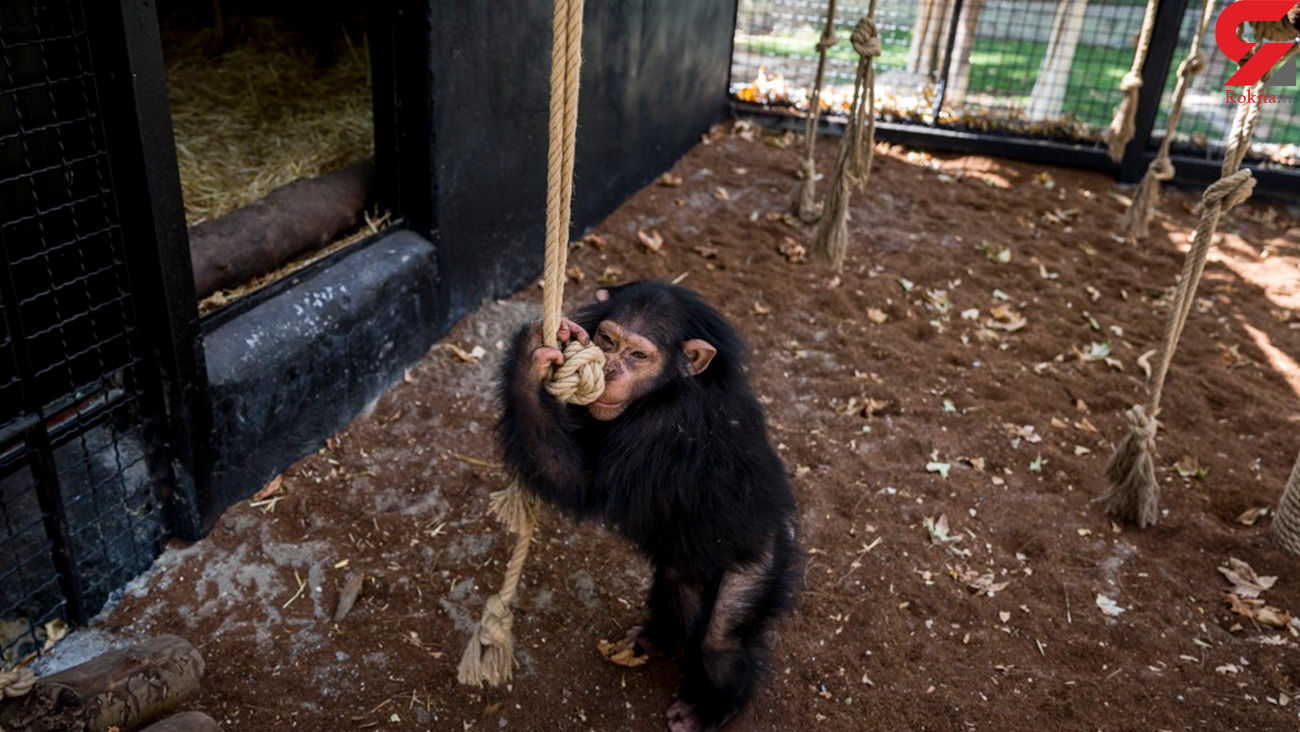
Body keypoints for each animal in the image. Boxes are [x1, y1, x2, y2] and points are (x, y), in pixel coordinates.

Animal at [499, 282, 795, 732]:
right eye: (607, 341)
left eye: (638, 355)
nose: (611, 370)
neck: (665, 389)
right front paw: (541, 345)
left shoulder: (666, 426)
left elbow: (582, 483)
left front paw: (529, 361)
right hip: (684, 562)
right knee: (679, 595)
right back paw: (657, 640)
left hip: (763, 557)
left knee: (721, 641)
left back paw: (709, 708)